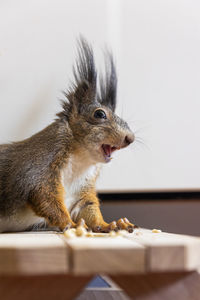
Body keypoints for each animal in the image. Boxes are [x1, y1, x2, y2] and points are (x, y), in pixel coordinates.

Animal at [0, 38, 135, 234]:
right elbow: (45, 197)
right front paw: (71, 224)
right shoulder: (38, 166)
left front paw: (110, 224)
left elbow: (88, 208)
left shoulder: (83, 190)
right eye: (99, 114)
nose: (130, 138)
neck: (81, 159)